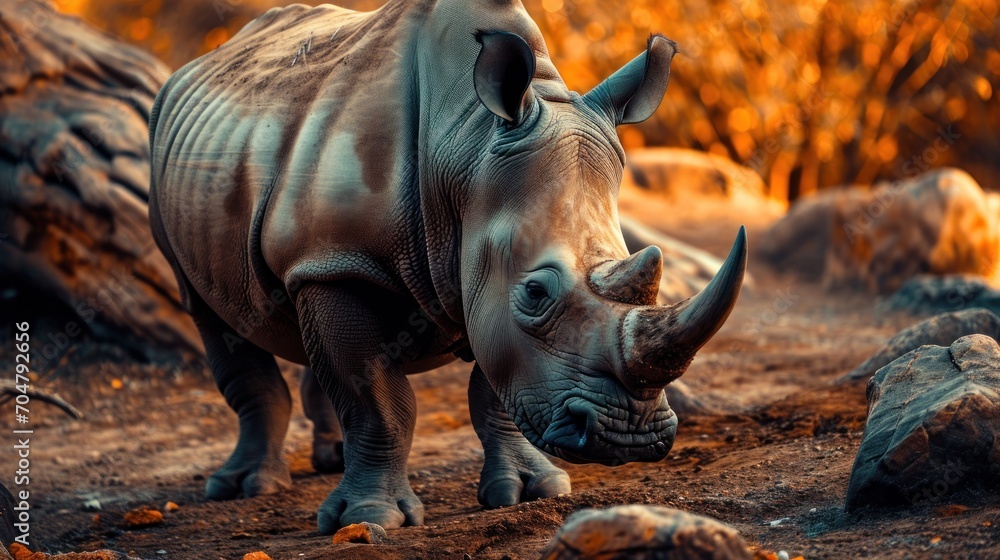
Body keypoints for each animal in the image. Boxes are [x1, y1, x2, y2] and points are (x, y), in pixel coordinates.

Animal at [149, 0, 747, 533]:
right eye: (536, 293)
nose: (628, 435)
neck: (467, 146)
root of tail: (204, 62)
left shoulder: (459, 271)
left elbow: (493, 388)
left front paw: (529, 492)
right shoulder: (338, 264)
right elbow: (376, 398)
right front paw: (367, 519)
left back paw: (331, 458)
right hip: (176, 164)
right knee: (211, 314)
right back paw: (244, 487)